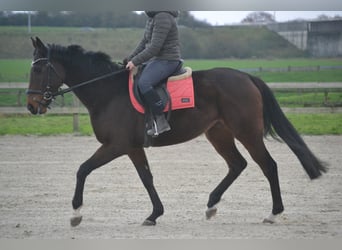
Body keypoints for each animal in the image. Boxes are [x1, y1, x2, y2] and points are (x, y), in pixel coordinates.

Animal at [26, 36, 326, 227]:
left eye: (39, 69)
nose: (31, 106)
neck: (108, 92)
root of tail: (246, 76)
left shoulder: (116, 146)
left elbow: (82, 169)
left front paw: (76, 214)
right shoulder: (132, 147)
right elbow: (146, 178)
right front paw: (154, 214)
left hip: (247, 133)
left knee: (268, 166)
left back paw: (273, 214)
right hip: (219, 133)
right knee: (237, 164)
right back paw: (211, 205)